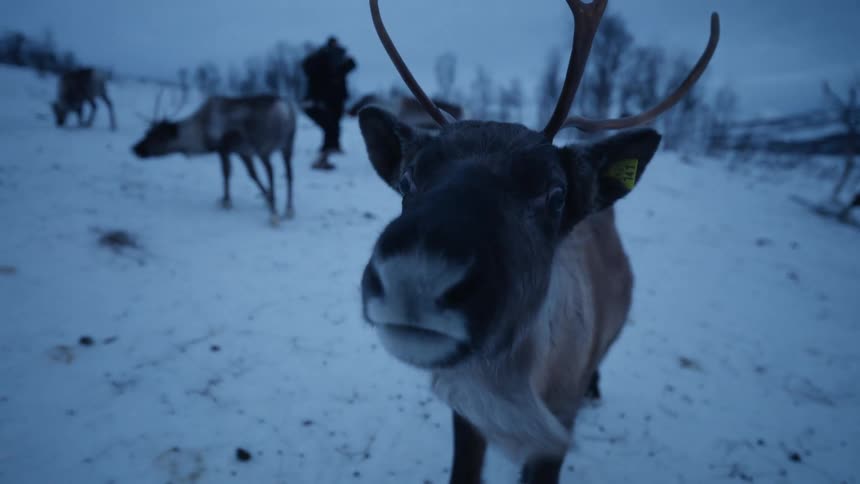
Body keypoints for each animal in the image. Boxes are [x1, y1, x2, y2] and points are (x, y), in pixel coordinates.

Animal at [131, 94, 297, 225]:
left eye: (156, 135)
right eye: (147, 132)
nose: (135, 148)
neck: (200, 131)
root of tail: (285, 109)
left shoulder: (223, 148)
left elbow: (226, 172)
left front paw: (226, 201)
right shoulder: (242, 152)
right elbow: (252, 174)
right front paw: (266, 196)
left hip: (264, 147)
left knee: (271, 171)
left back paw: (274, 214)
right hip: (288, 145)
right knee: (289, 173)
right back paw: (288, 210)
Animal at [357, 1, 719, 483]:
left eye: (556, 193)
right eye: (407, 178)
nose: (416, 276)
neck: (509, 396)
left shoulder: (555, 434)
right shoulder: (467, 417)